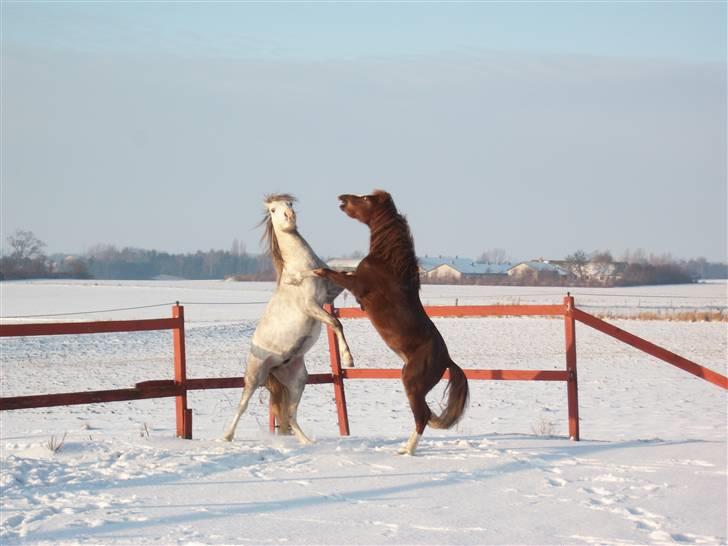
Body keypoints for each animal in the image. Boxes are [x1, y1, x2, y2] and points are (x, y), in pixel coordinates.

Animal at [223, 194, 354, 444]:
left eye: (290, 204)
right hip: (254, 375)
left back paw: (307, 442)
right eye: (273, 210)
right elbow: (336, 323)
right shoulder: (311, 305)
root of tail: (275, 368)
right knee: (243, 404)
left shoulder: (329, 293)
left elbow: (348, 275)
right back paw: (226, 436)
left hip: (298, 380)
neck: (301, 266)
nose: (290, 217)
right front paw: (348, 358)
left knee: (291, 415)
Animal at [312, 190, 469, 455]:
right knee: (425, 415)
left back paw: (407, 451)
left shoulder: (357, 285)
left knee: (422, 416)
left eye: (365, 199)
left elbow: (335, 273)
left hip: (412, 384)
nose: (342, 197)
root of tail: (447, 360)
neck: (387, 263)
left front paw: (314, 270)